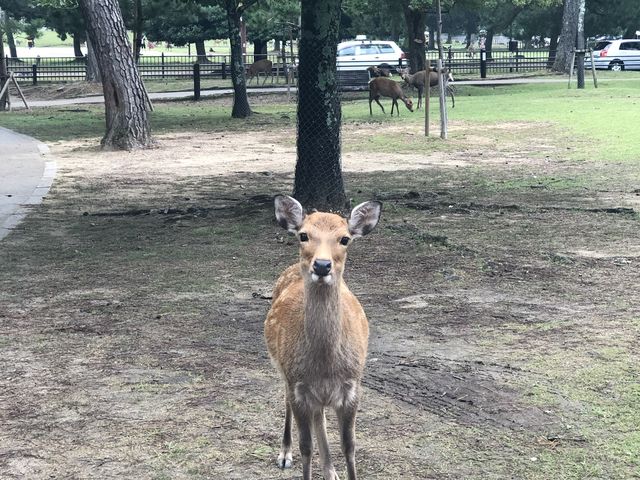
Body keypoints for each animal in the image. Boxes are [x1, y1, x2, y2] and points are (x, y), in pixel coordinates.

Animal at [264, 195, 382, 480]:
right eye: (303, 235)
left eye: (345, 238)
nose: (321, 265)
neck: (325, 366)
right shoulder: (299, 387)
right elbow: (306, 447)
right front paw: (295, 456)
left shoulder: (352, 387)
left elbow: (349, 446)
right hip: (282, 370)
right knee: (287, 403)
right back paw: (285, 454)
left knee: (321, 418)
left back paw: (330, 471)